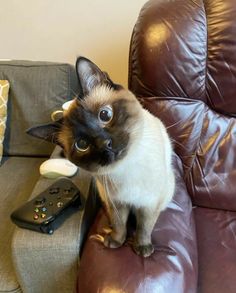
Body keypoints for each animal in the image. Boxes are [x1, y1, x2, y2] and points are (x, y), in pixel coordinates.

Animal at [28, 56, 175, 256]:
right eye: (82, 145)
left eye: (105, 115)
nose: (106, 144)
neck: (126, 167)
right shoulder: (117, 203)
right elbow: (119, 224)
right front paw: (116, 241)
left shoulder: (148, 203)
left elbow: (144, 227)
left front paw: (142, 247)